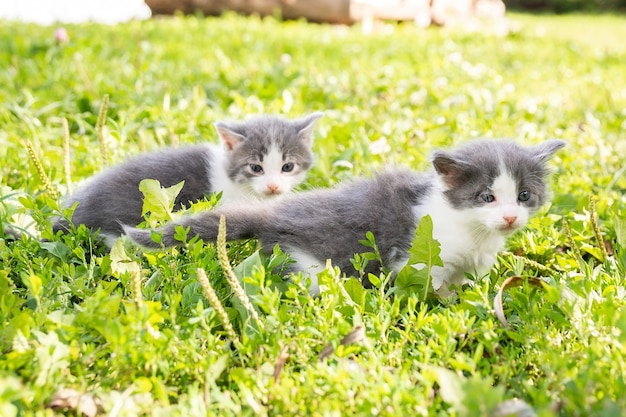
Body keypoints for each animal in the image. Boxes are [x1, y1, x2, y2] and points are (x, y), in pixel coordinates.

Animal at [124, 140, 564, 296]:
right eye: (486, 197)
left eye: (524, 196)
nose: (510, 217)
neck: (474, 233)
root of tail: (272, 212)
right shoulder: (420, 259)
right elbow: (430, 288)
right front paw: (449, 309)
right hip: (309, 262)